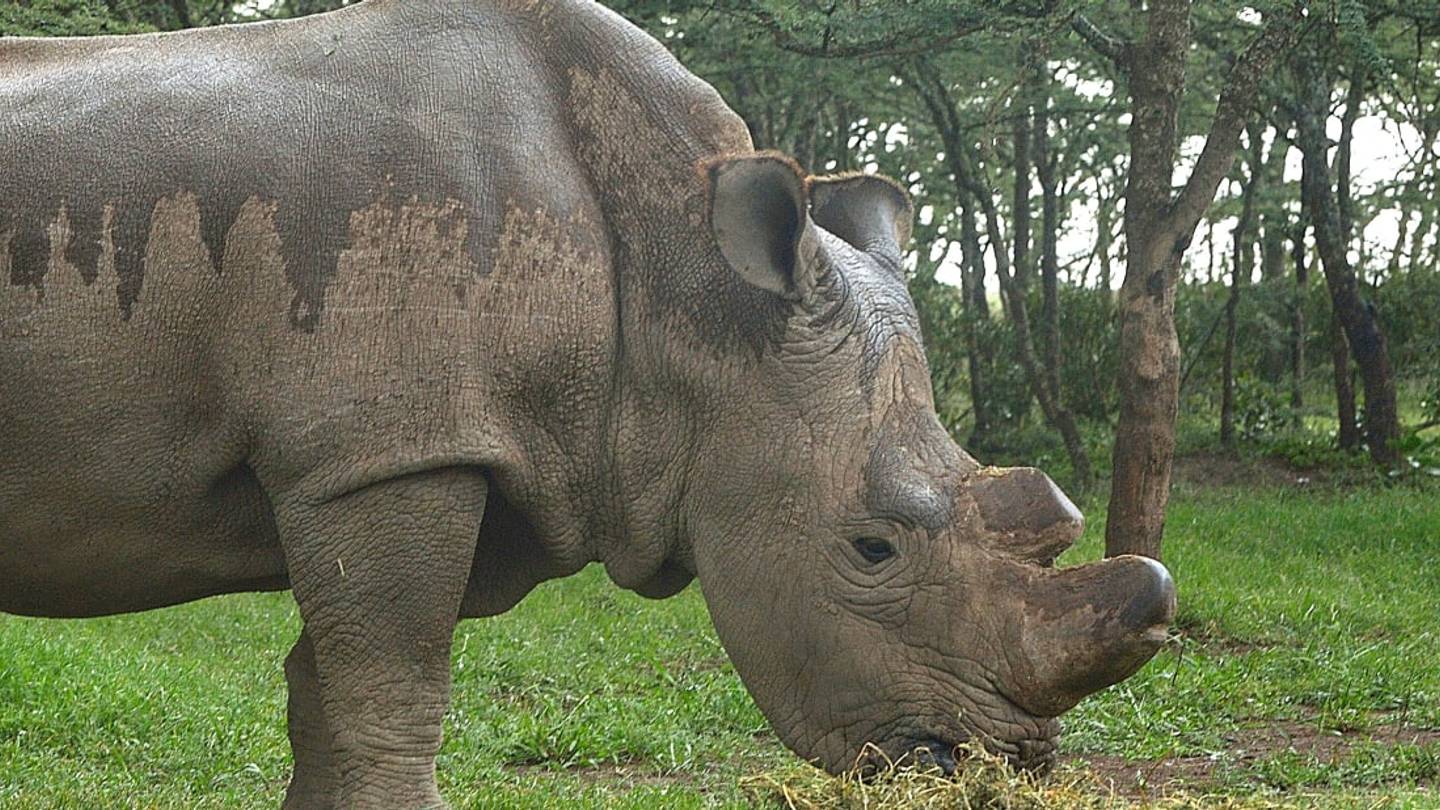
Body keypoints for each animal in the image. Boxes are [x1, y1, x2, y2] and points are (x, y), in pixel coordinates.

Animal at [0, 0, 1176, 806]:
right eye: (871, 548)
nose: (1001, 764)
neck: (683, 283)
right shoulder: (381, 452)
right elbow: (392, 700)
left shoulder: (472, 447)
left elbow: (328, 697)